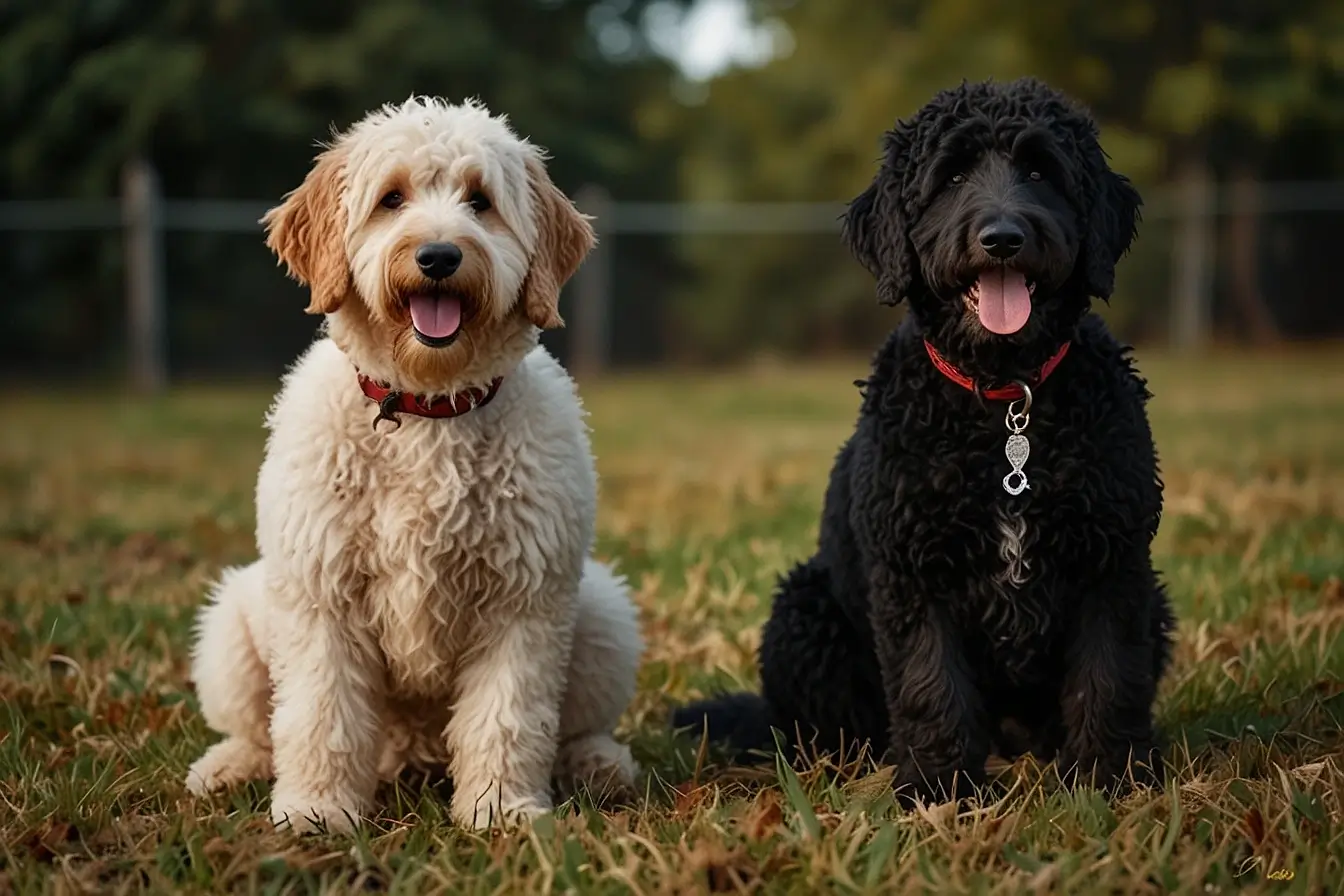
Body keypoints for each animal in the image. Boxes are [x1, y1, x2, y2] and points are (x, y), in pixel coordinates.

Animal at [186, 98, 642, 832]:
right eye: (391, 199)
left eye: (480, 201)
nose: (438, 255)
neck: (430, 408)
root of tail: (411, 755)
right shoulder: (322, 593)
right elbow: (320, 714)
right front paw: (316, 811)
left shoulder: (524, 598)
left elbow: (508, 715)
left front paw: (500, 810)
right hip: (235, 621)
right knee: (259, 725)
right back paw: (232, 766)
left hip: (601, 613)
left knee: (576, 725)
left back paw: (597, 764)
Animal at [677, 78, 1171, 805]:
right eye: (953, 176)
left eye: (1040, 171)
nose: (1003, 237)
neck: (1004, 404)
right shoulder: (913, 576)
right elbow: (930, 687)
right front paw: (940, 791)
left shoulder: (1113, 564)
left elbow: (1108, 679)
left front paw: (1110, 779)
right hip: (804, 611)